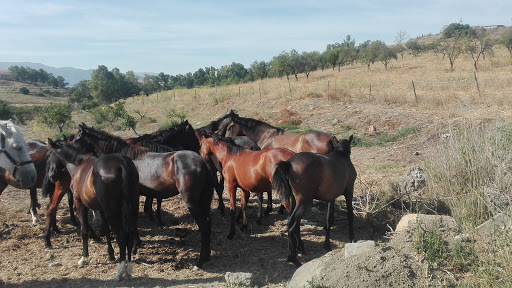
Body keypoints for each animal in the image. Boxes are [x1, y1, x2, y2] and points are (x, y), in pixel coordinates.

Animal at [44, 138, 138, 280]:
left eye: (50, 155)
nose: (51, 176)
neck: (79, 165)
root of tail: (122, 164)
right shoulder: (101, 208)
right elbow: (106, 229)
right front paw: (110, 254)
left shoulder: (80, 204)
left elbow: (84, 229)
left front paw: (84, 258)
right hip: (130, 208)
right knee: (130, 234)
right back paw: (128, 269)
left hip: (113, 211)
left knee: (121, 236)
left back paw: (120, 271)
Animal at [73, 124, 214, 268]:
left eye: (77, 138)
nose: (198, 147)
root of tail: (202, 161)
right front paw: (136, 245)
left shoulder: (133, 197)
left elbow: (133, 221)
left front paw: (134, 247)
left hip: (192, 202)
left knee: (204, 226)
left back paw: (200, 261)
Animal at [272, 136, 356, 268]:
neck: (341, 156)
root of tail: (289, 163)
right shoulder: (349, 193)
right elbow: (350, 216)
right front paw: (352, 239)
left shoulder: (331, 197)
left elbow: (329, 220)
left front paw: (327, 245)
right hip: (304, 202)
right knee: (292, 225)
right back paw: (293, 258)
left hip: (294, 201)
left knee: (292, 223)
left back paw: (296, 251)